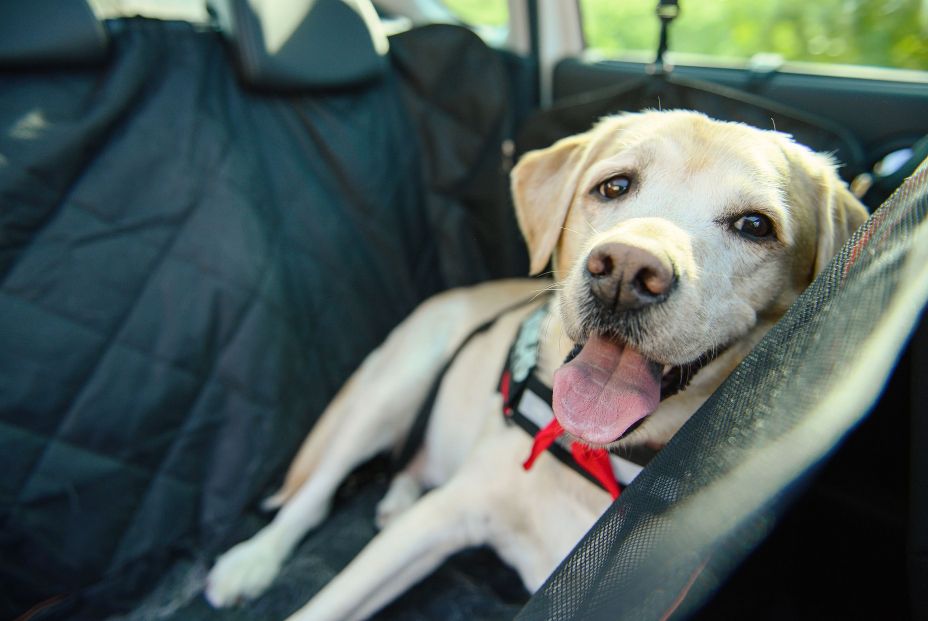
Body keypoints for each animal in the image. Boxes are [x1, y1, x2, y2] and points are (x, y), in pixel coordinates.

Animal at [205, 112, 872, 620]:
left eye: (755, 225)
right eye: (614, 186)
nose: (625, 272)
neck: (593, 455)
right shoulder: (440, 520)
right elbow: (325, 602)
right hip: (398, 380)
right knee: (314, 495)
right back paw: (251, 561)